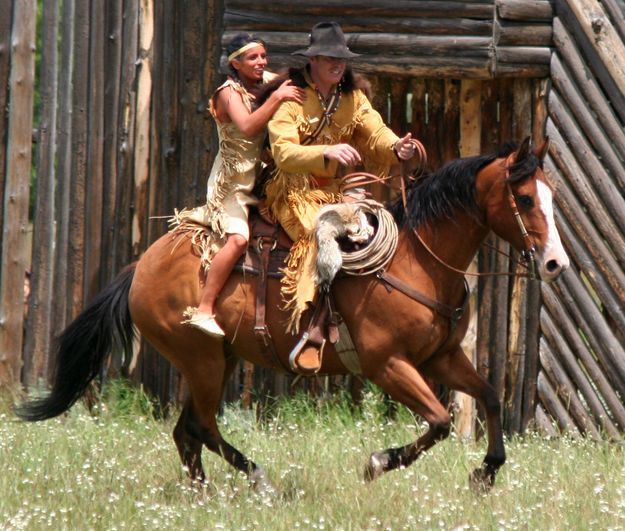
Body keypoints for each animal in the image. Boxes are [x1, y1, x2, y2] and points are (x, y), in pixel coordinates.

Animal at [17, 137, 568, 494]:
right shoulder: (387, 365)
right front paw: (376, 463)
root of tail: (140, 268)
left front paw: (485, 472)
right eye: (524, 198)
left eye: (551, 196)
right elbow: (439, 421)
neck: (417, 261)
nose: (554, 263)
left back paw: (202, 495)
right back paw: (259, 479)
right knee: (201, 428)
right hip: (202, 361)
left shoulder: (443, 358)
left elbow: (488, 398)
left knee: (186, 432)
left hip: (219, 359)